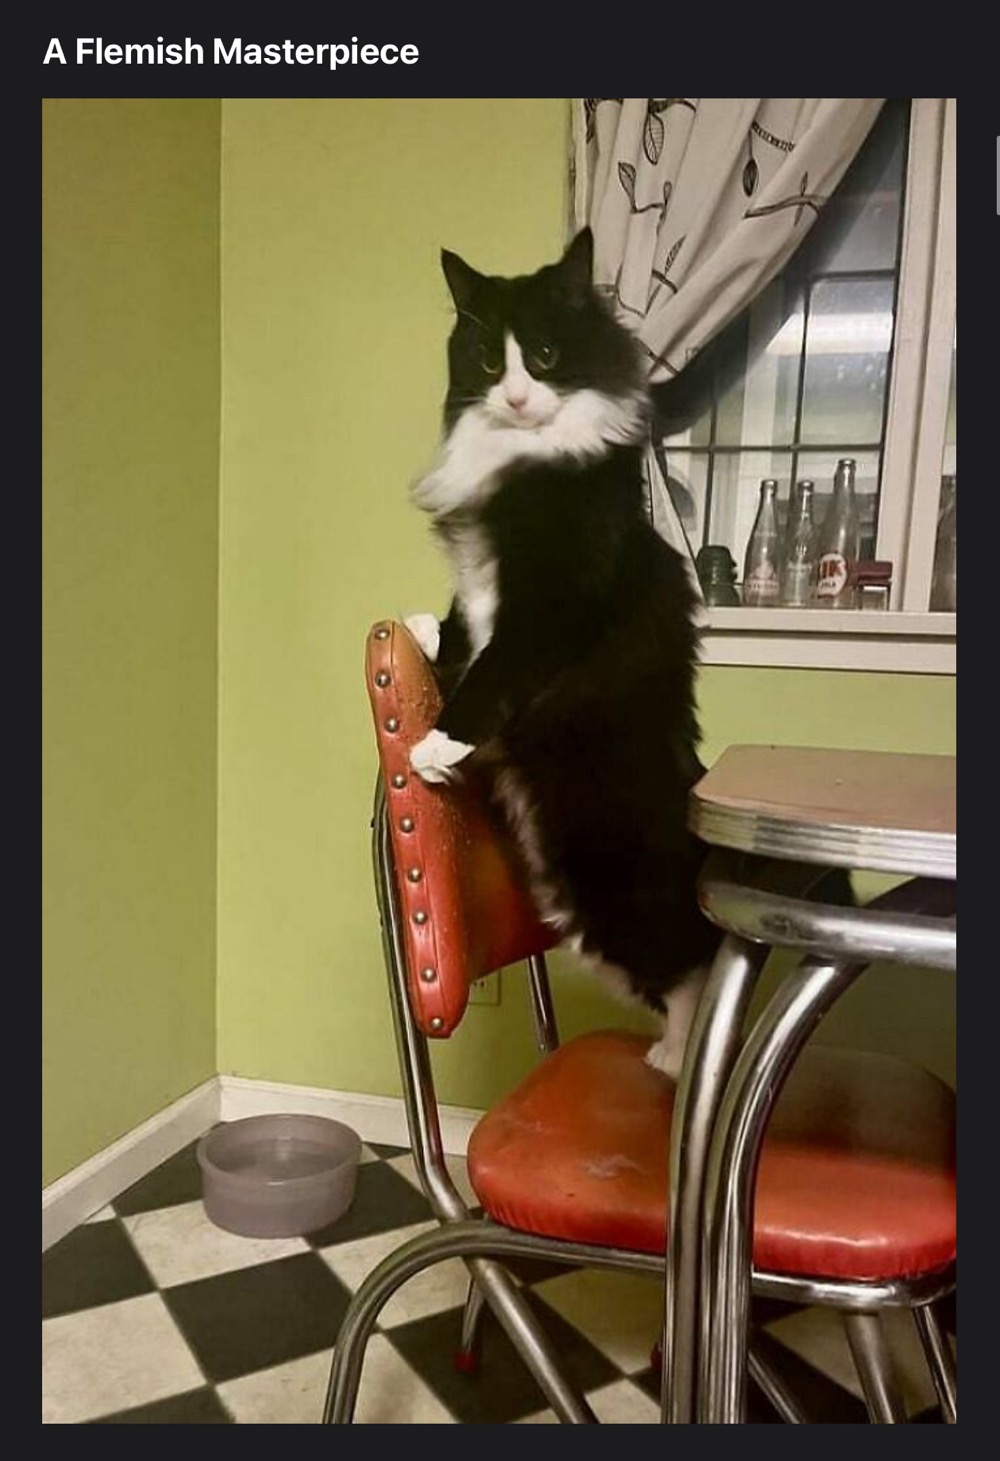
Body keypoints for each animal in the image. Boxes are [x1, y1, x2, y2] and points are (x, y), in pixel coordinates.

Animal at [404, 227, 721, 1079]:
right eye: (488, 359)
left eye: (544, 354)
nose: (515, 397)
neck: (524, 462)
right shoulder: (483, 588)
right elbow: (461, 623)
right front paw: (422, 630)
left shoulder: (552, 604)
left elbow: (494, 669)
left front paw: (435, 743)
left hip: (608, 887)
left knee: (694, 963)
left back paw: (674, 1061)